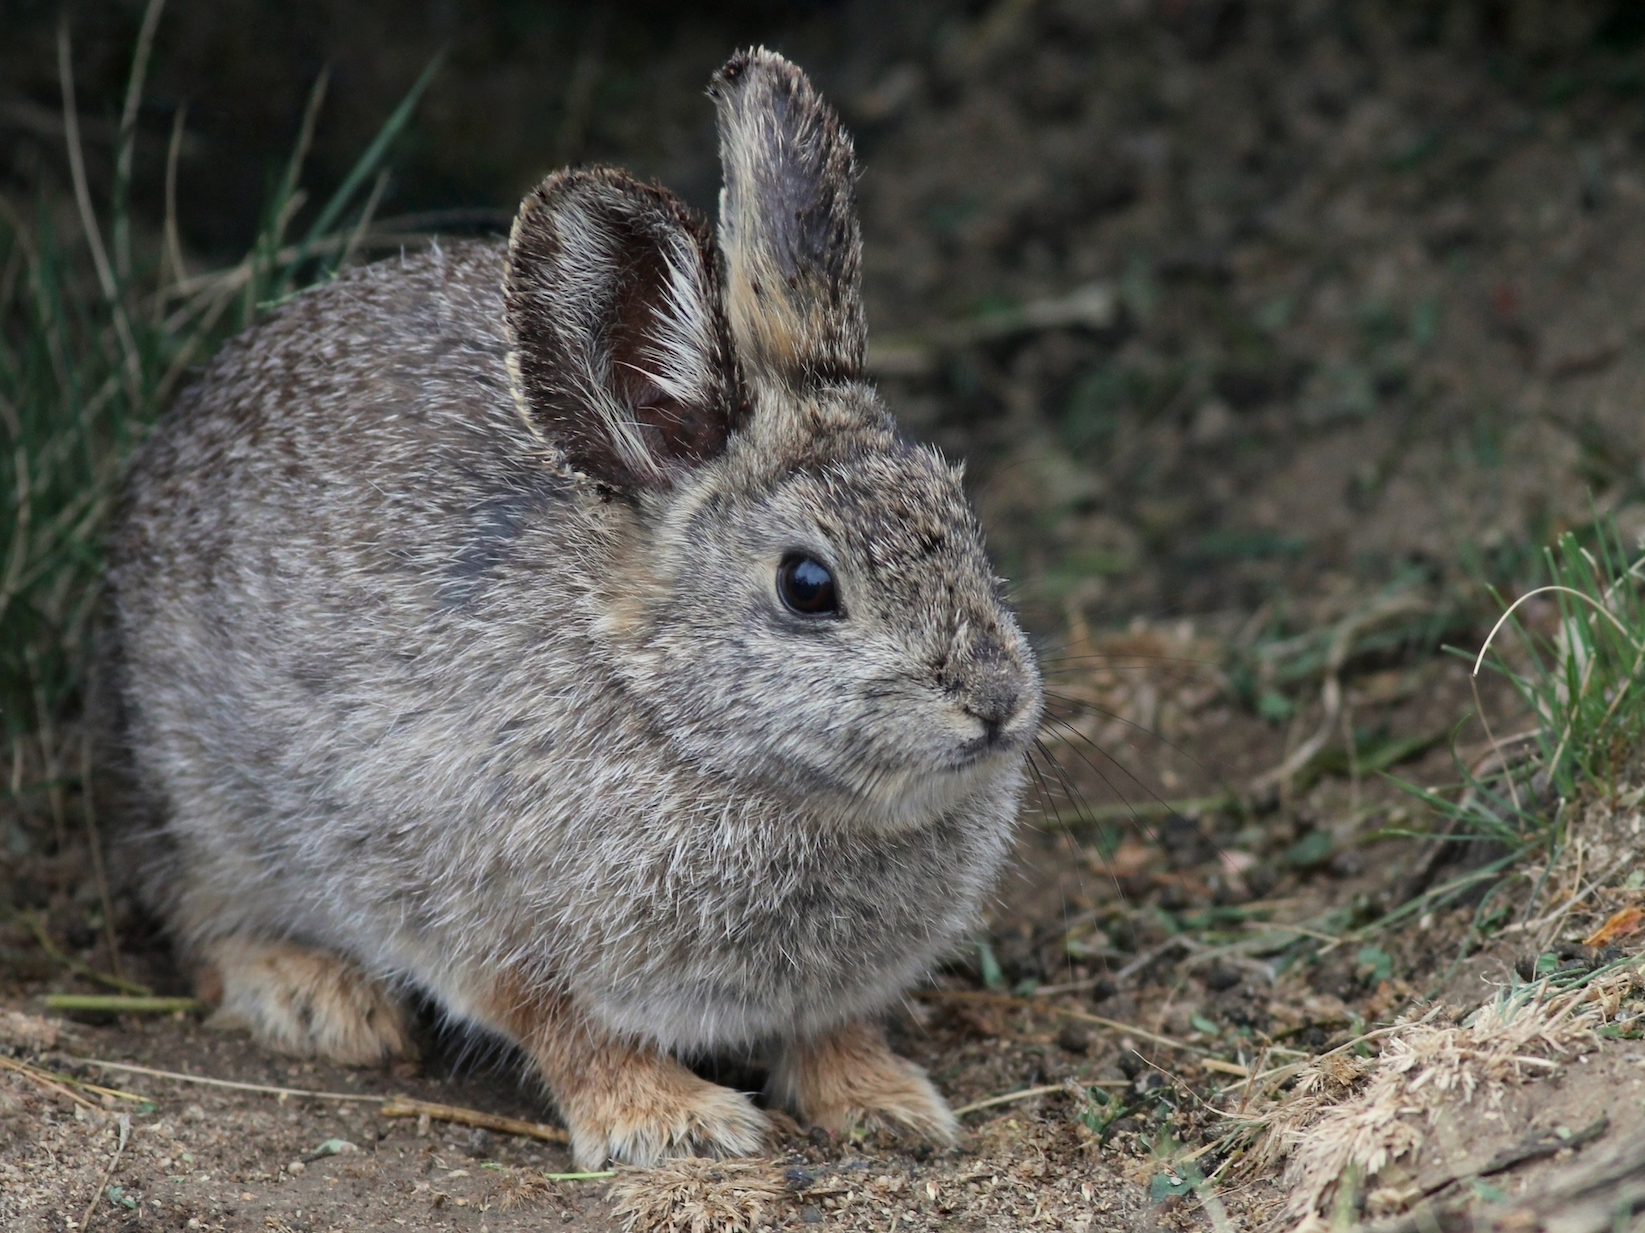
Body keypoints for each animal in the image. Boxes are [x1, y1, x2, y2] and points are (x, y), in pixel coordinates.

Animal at [106, 48, 1039, 1170]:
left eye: (963, 515)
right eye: (807, 586)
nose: (995, 701)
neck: (678, 725)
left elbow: (830, 1029)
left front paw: (886, 1102)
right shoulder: (484, 924)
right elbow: (571, 1031)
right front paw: (673, 1123)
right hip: (203, 804)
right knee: (198, 919)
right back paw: (317, 999)